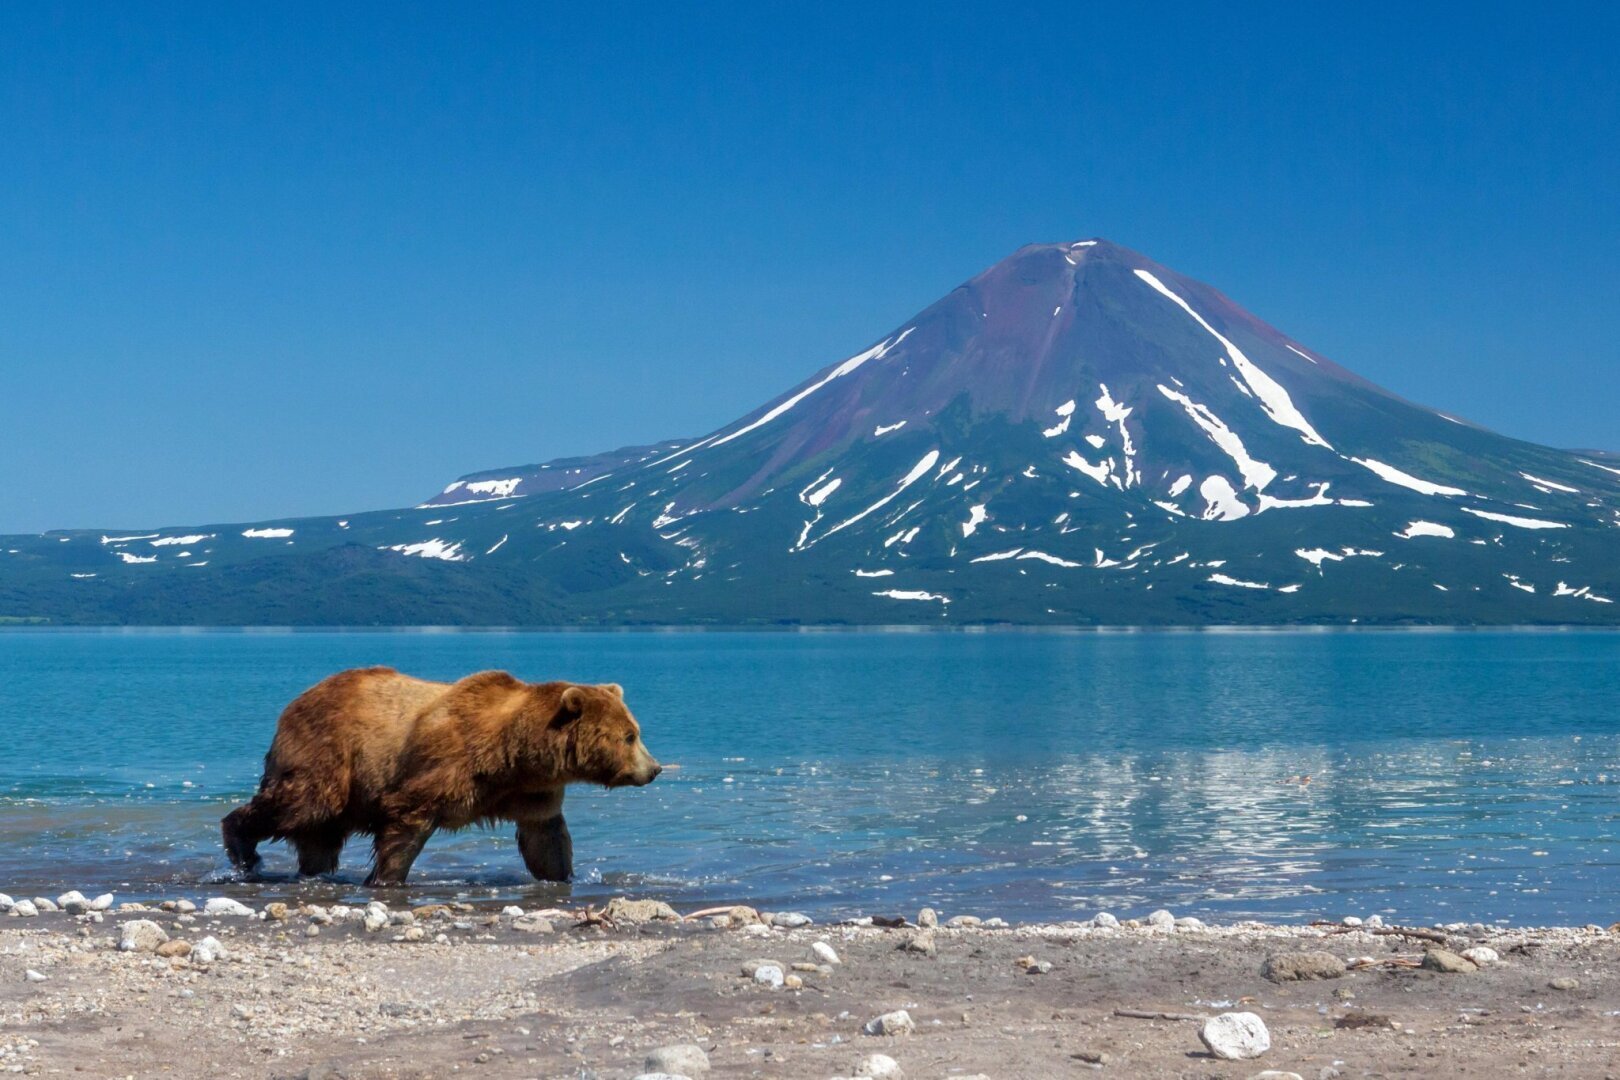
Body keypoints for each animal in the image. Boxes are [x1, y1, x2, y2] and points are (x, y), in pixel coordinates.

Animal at [220, 667, 657, 887]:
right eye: (630, 736)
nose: (653, 769)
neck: (513, 755)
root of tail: (294, 703)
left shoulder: (532, 793)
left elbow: (546, 840)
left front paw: (564, 877)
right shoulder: (444, 765)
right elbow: (406, 822)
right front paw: (386, 879)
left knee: (318, 837)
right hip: (328, 755)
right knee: (299, 803)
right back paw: (242, 848)